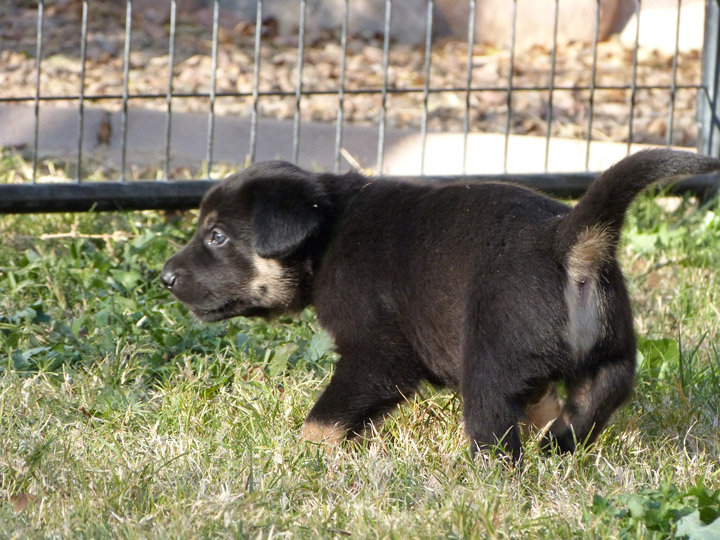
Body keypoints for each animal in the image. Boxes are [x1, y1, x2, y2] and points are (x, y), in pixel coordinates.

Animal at [163, 148, 720, 460]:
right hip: (612, 354)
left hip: (487, 365)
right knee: (593, 403)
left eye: (216, 236)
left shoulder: (378, 357)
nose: (165, 277)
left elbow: (324, 417)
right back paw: (556, 451)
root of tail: (567, 240)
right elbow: (543, 401)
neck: (326, 234)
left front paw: (303, 458)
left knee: (495, 439)